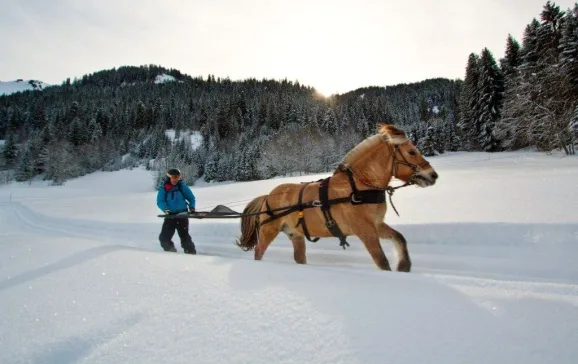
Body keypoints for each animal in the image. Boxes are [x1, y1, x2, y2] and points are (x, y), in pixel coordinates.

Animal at [234, 123, 436, 272]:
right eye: (411, 152)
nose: (433, 175)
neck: (358, 187)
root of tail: (268, 196)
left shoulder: (376, 225)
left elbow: (400, 238)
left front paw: (404, 266)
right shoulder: (365, 230)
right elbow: (381, 261)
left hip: (296, 235)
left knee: (299, 258)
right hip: (268, 230)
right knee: (259, 251)